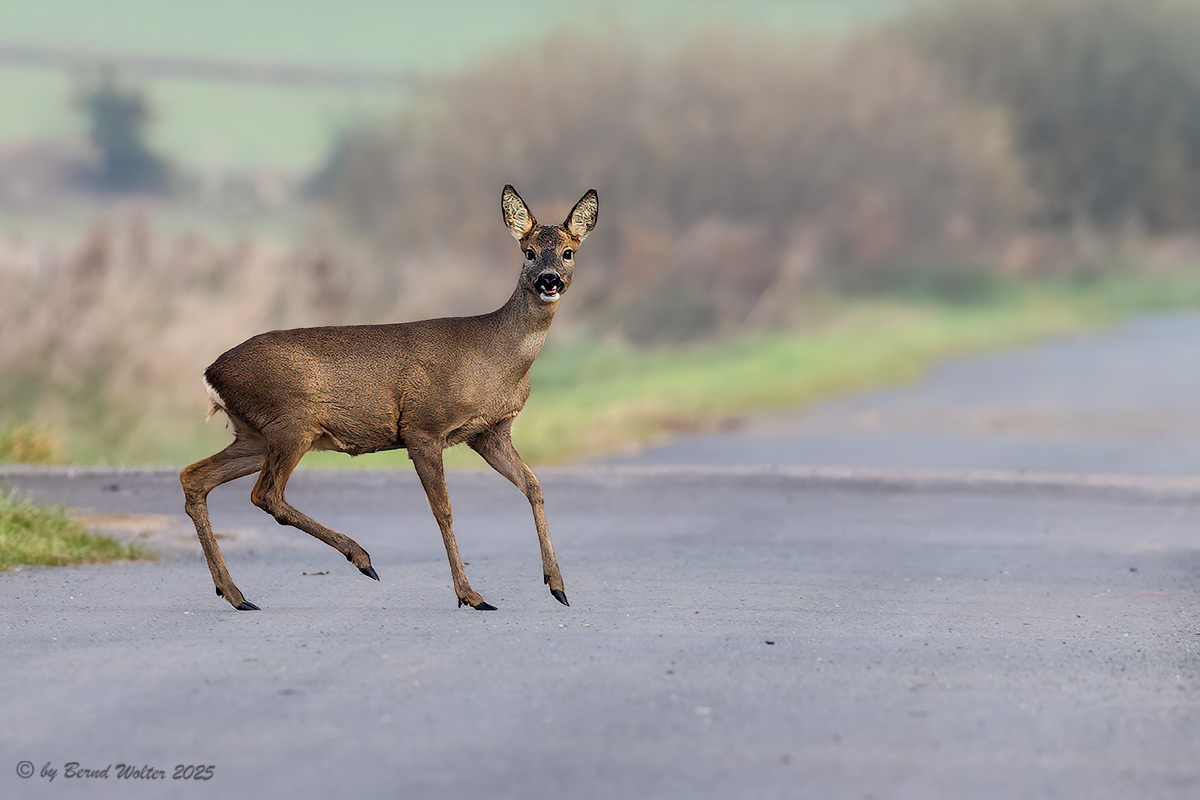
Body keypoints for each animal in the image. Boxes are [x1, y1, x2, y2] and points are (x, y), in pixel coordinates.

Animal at [180, 186, 597, 612]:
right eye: (529, 251)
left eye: (568, 252)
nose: (549, 280)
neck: (495, 357)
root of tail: (211, 373)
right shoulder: (424, 428)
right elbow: (443, 510)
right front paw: (470, 595)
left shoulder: (489, 432)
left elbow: (534, 486)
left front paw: (557, 585)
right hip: (291, 424)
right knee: (265, 494)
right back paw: (360, 558)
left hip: (255, 435)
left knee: (195, 477)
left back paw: (235, 593)